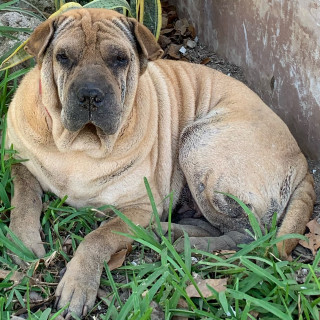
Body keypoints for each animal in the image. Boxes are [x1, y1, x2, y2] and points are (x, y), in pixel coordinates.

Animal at [6, 7, 316, 318]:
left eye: (120, 59)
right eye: (63, 56)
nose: (91, 94)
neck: (80, 144)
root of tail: (302, 161)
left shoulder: (138, 207)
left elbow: (97, 238)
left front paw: (78, 283)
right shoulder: (18, 159)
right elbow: (23, 197)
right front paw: (23, 241)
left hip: (196, 144)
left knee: (247, 233)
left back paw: (189, 244)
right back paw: (169, 233)